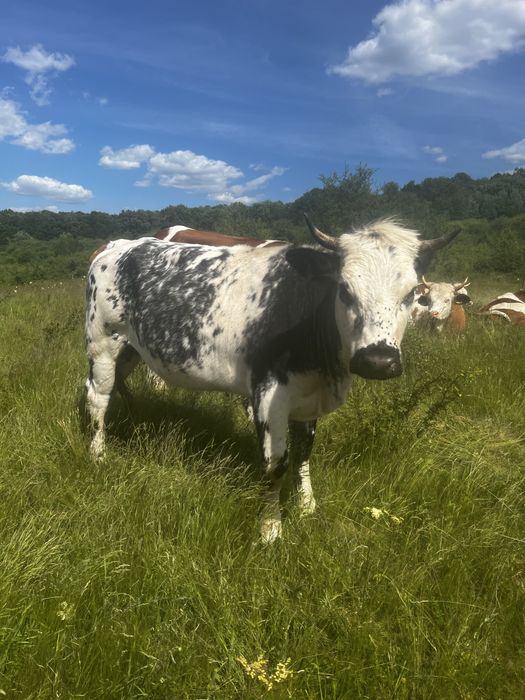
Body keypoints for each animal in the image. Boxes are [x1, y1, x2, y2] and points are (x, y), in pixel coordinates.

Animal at [85, 217, 460, 542]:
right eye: (344, 289)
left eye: (411, 294)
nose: (378, 361)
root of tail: (119, 244)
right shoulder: (267, 394)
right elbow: (275, 465)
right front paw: (270, 530)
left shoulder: (308, 398)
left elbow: (304, 454)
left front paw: (307, 507)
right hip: (103, 343)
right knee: (97, 396)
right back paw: (98, 455)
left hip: (132, 349)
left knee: (118, 385)